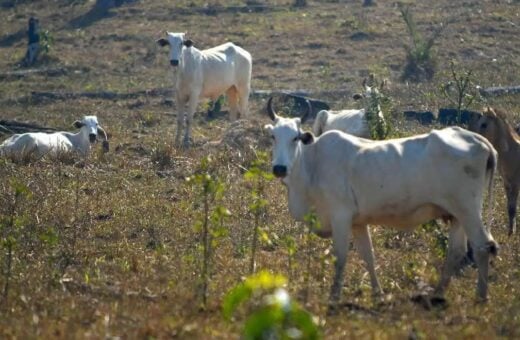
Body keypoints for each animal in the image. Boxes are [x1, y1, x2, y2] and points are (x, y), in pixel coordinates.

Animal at [266, 97, 498, 306]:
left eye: (295, 138)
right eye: (273, 137)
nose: (279, 168)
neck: (313, 164)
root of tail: (480, 141)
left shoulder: (340, 216)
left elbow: (340, 257)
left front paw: (334, 297)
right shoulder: (358, 222)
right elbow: (368, 256)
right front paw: (378, 294)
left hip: (468, 209)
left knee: (482, 246)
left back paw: (481, 296)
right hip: (456, 214)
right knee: (456, 251)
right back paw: (438, 294)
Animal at [468, 107, 520, 235]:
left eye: (484, 124)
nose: (474, 137)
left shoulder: (515, 184)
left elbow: (513, 208)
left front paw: (511, 233)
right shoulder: (507, 183)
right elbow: (510, 208)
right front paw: (510, 232)